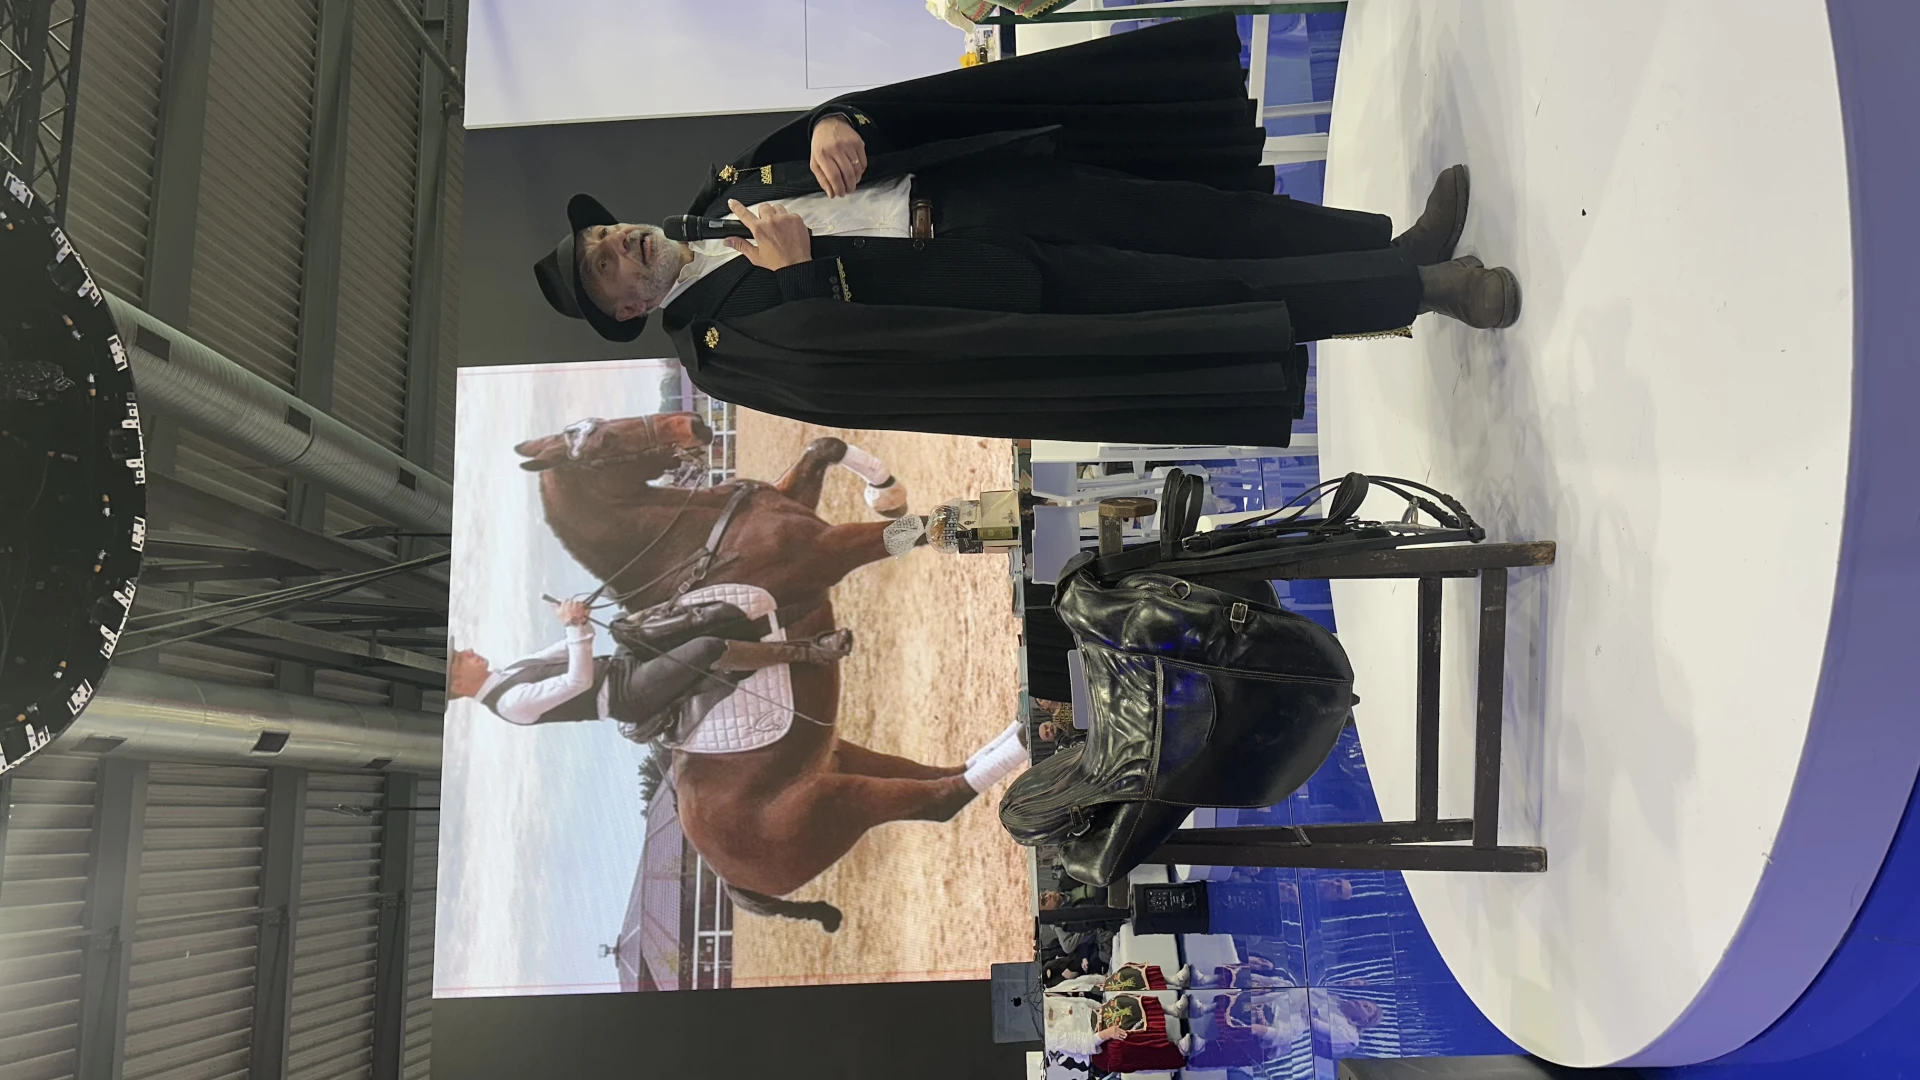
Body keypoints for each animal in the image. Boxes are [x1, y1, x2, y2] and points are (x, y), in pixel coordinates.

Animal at [513, 412, 1004, 899]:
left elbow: (824, 447)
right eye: (605, 440)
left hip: (834, 759)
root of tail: (730, 882)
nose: (692, 423)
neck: (691, 539)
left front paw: (884, 491)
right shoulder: (828, 550)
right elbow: (928, 523)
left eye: (600, 424)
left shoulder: (793, 501)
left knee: (924, 770)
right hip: (838, 802)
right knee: (940, 800)